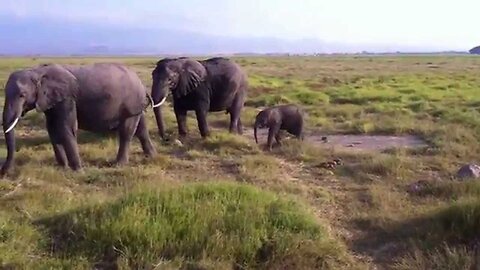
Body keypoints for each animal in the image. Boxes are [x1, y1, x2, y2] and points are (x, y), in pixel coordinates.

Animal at [0, 62, 157, 176]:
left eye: (22, 95)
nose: (4, 173)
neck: (37, 71)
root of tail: (141, 84)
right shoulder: (52, 101)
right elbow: (52, 129)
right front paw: (62, 167)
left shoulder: (67, 97)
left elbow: (66, 128)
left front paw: (78, 170)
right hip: (135, 104)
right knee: (141, 128)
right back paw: (151, 156)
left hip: (131, 101)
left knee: (126, 132)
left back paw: (119, 165)